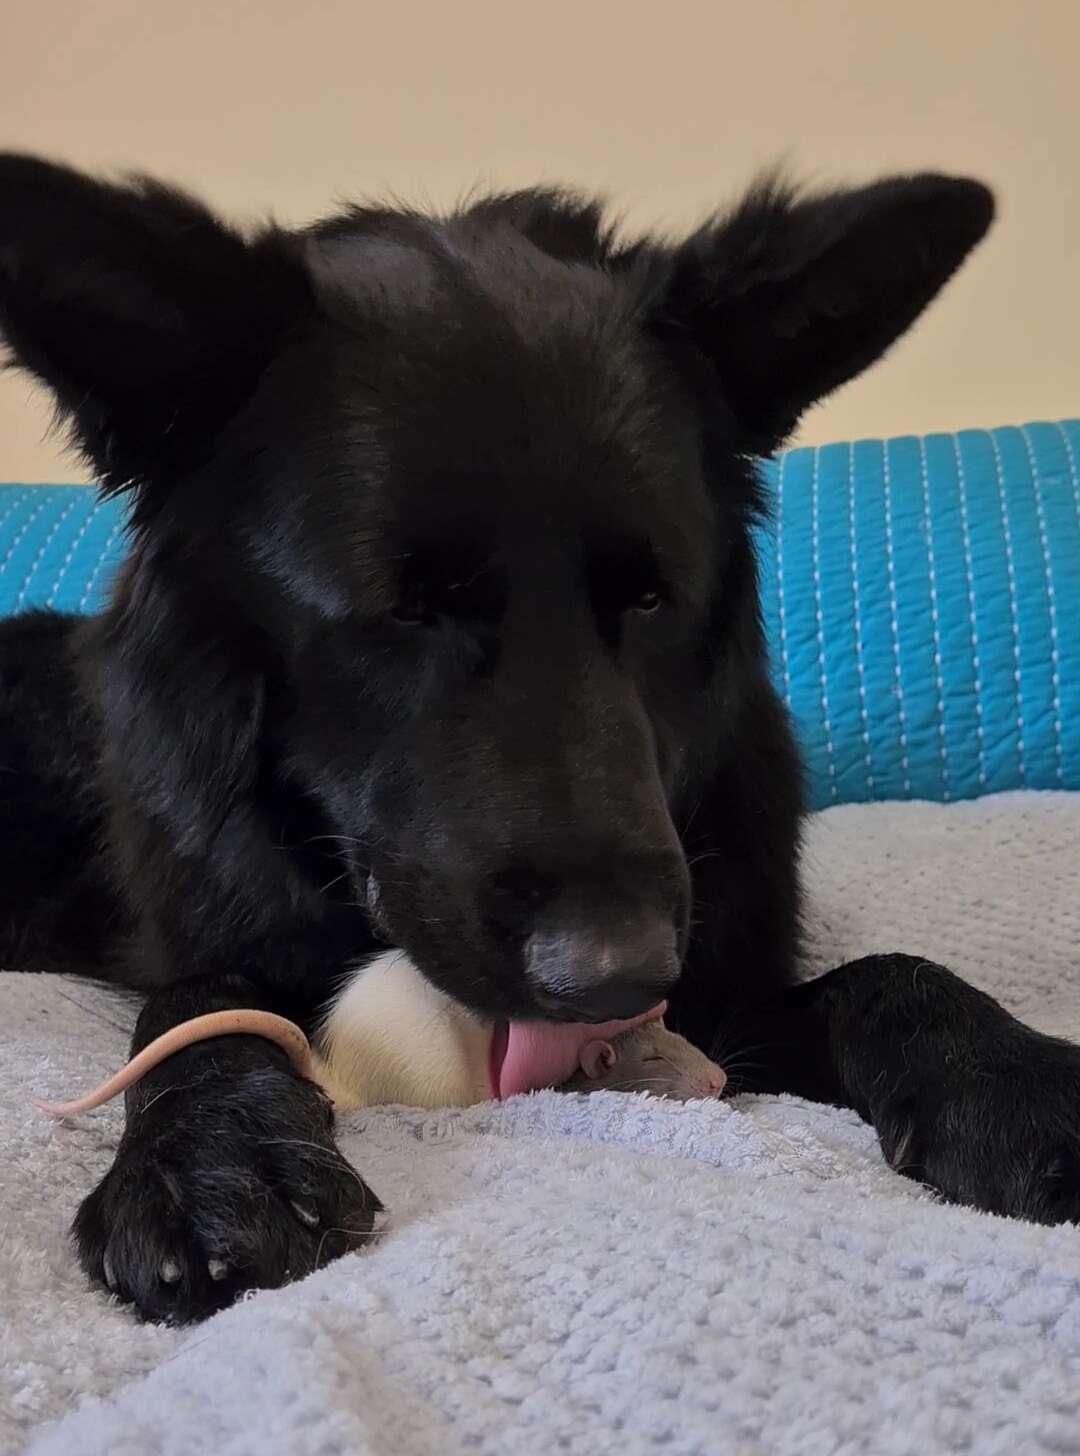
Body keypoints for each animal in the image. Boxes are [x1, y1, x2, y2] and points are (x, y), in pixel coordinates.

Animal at [2, 153, 1080, 1327]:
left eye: (650, 598)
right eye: (405, 608)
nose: (614, 976)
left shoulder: (725, 996)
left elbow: (887, 972)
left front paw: (1018, 1081)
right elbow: (196, 996)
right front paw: (209, 1153)